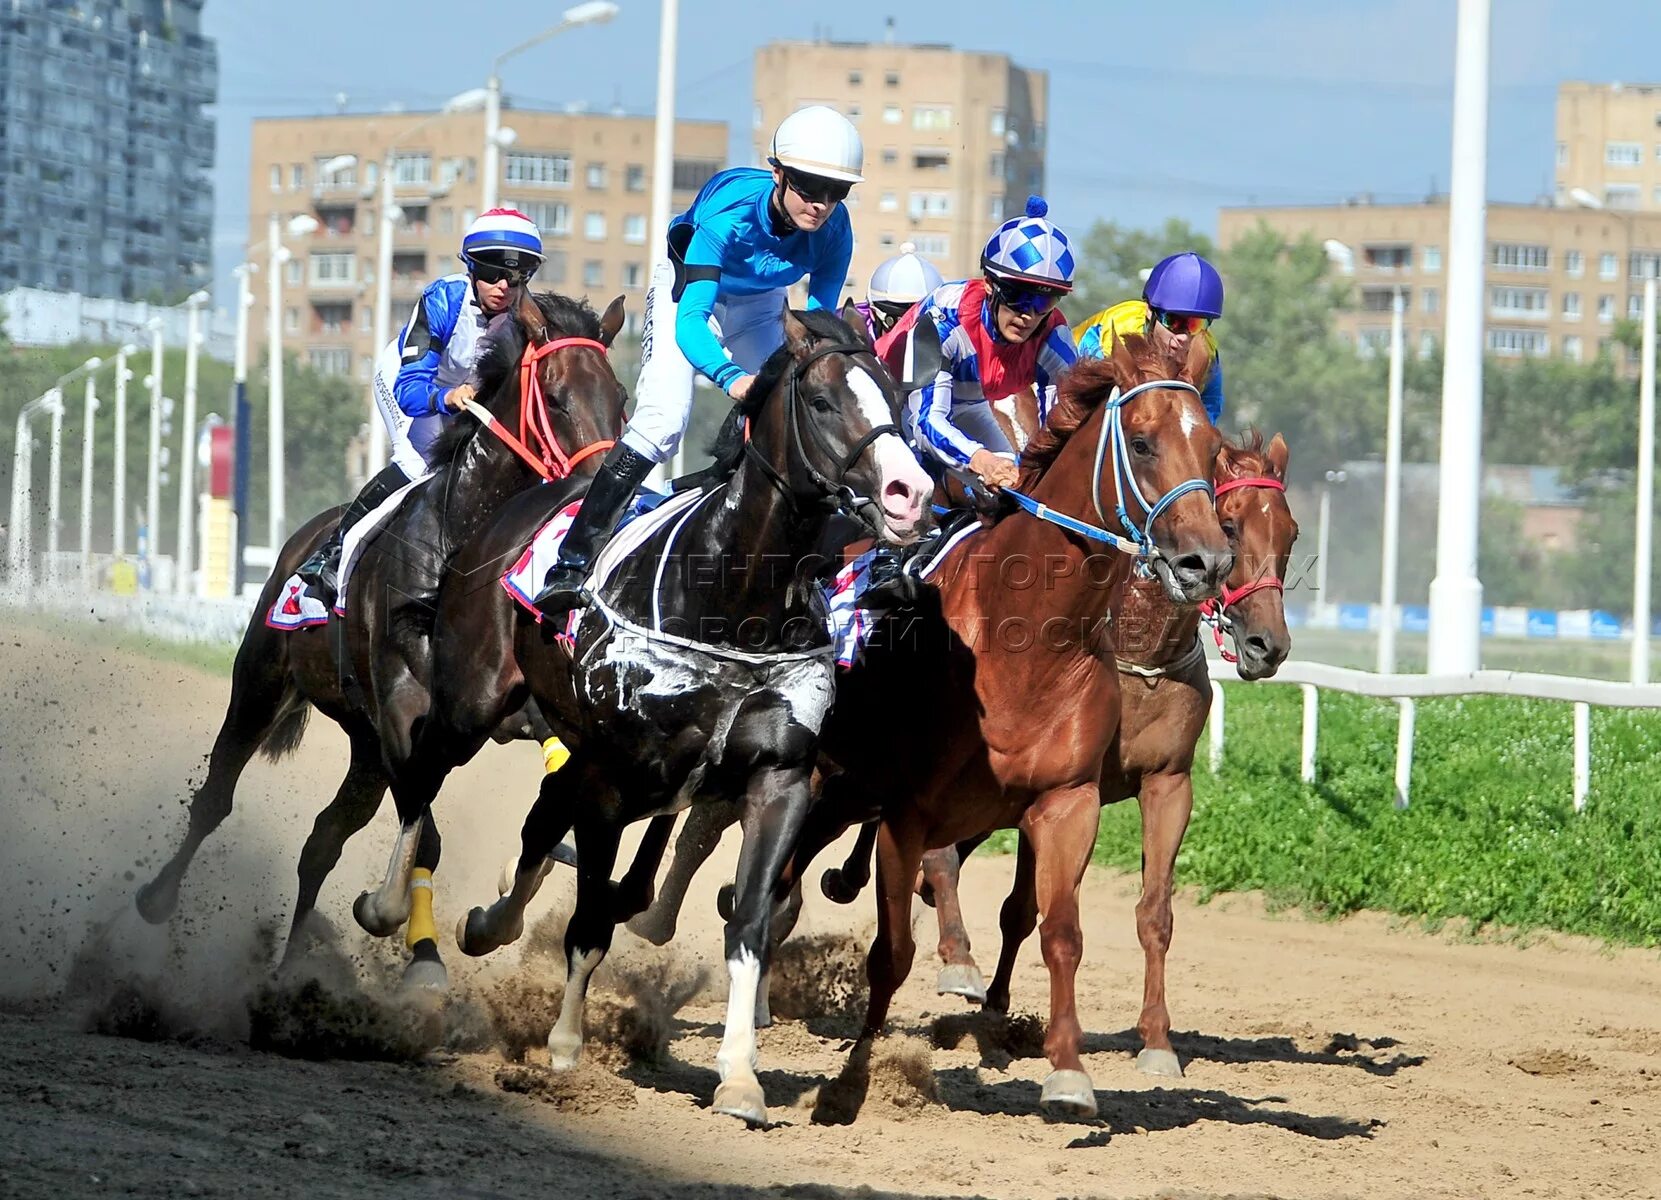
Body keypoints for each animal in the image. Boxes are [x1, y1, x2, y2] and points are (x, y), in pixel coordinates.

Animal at [132, 292, 624, 983]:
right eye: (555, 398)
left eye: (622, 397)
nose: (608, 499)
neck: (458, 547)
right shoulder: (402, 704)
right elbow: (429, 833)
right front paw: (417, 946)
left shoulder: (503, 704)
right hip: (263, 683)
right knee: (216, 799)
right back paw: (157, 899)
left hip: (362, 743)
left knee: (323, 840)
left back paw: (291, 970)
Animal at [382, 304, 936, 1123]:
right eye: (823, 401)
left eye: (897, 399)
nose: (909, 492)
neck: (732, 593)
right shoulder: (616, 775)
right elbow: (589, 921)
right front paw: (566, 1047)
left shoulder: (778, 778)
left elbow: (748, 922)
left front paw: (739, 1077)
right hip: (471, 702)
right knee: (423, 775)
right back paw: (388, 907)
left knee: (540, 816)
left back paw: (488, 923)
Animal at [830, 428, 1295, 1077]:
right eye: (1230, 526)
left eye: (1291, 533)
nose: (1267, 646)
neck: (1136, 653)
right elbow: (1011, 902)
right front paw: (981, 992)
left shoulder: (1161, 783)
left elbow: (1146, 912)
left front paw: (1154, 1042)